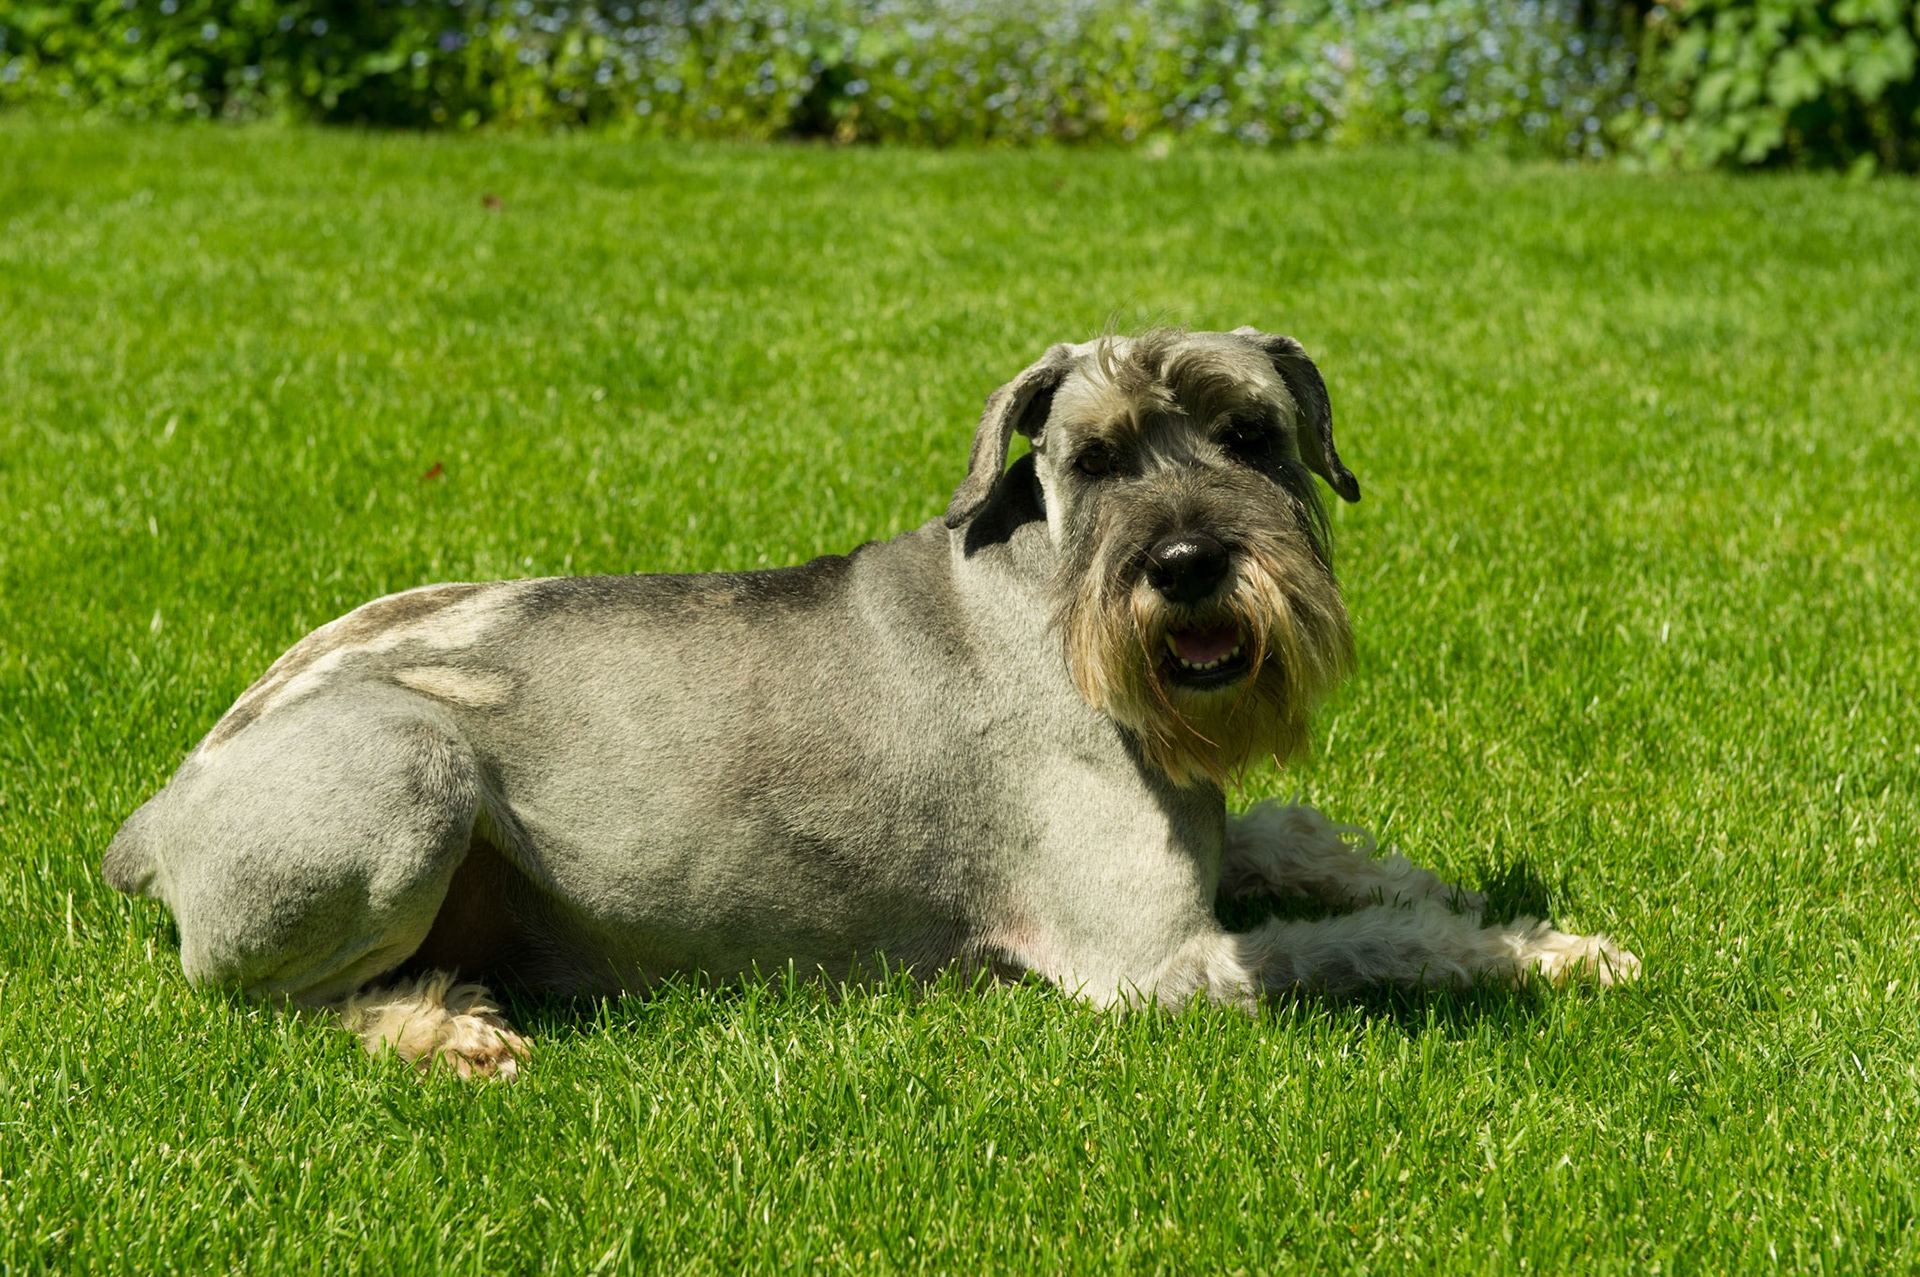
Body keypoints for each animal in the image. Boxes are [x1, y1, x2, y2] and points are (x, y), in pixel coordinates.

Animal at [103, 327, 1638, 1079]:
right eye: (1094, 457)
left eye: (1254, 435)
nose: (1190, 565)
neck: (1048, 604)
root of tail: (155, 817)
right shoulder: (1164, 963)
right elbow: (1373, 945)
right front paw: (1552, 952)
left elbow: (1317, 848)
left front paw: (1478, 898)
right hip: (410, 769)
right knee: (265, 1002)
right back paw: (443, 1032)